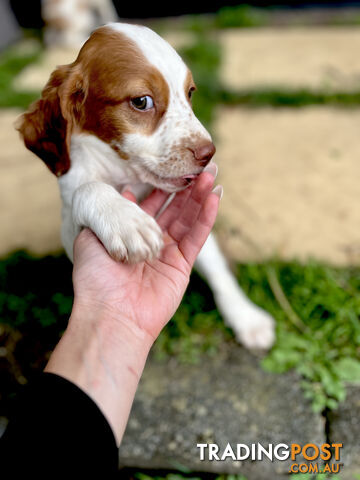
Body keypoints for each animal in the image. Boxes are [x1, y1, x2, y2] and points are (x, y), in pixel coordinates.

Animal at [17, 23, 276, 348]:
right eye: (142, 102)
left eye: (189, 93)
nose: (209, 153)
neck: (126, 175)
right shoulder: (70, 231)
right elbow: (86, 190)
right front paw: (126, 221)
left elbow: (217, 267)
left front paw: (246, 316)